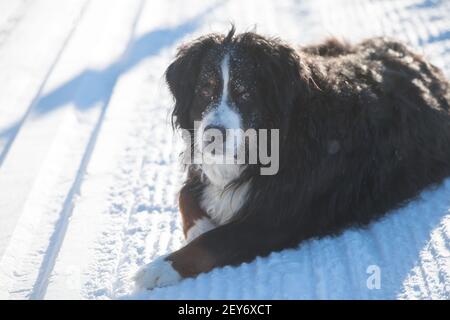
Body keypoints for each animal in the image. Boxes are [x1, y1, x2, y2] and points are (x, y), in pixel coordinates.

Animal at [134, 27, 450, 292]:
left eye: (244, 92)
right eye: (204, 90)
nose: (213, 135)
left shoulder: (276, 218)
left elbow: (213, 242)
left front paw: (160, 267)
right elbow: (185, 195)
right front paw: (201, 226)